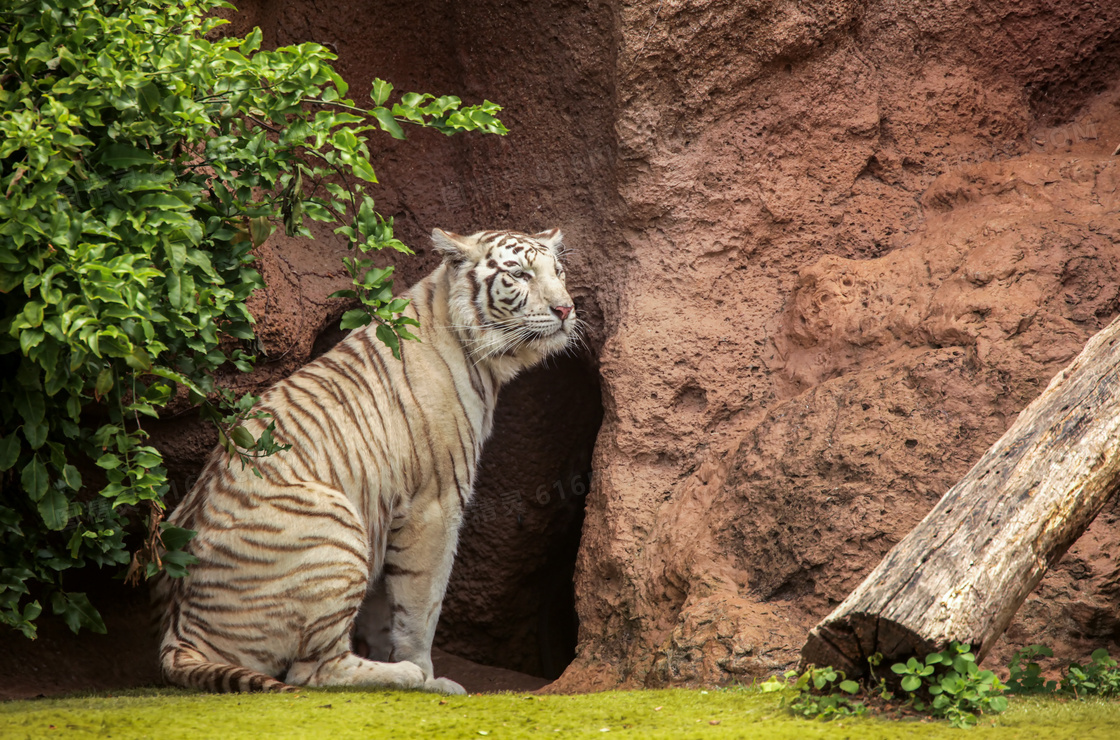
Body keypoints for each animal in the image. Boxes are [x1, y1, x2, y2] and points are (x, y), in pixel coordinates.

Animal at [153, 226, 573, 694]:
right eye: (519, 275)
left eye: (558, 272)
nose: (566, 308)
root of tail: (180, 634)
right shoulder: (435, 504)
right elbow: (421, 606)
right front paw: (428, 677)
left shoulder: (385, 509)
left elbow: (384, 611)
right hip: (335, 530)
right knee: (313, 672)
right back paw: (404, 676)